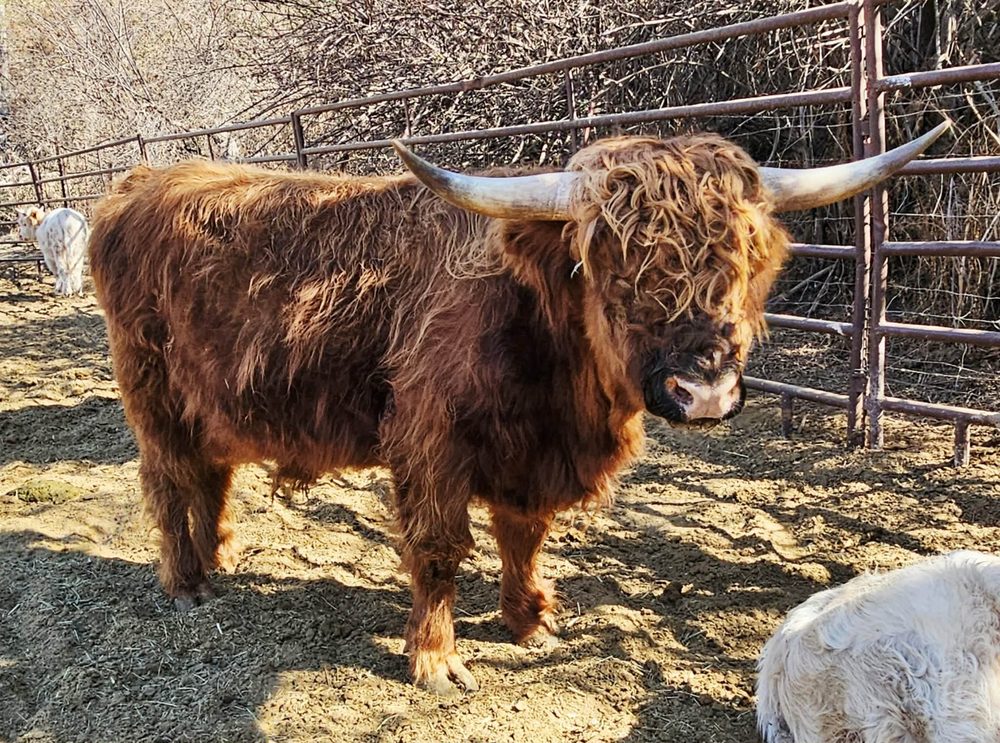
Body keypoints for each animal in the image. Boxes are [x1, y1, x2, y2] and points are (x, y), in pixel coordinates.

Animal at [88, 121, 947, 695]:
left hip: (212, 403)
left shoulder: (533, 456)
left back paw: (220, 556)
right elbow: (439, 547)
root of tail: (143, 182)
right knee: (167, 479)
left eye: (735, 258)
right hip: (153, 392)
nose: (701, 391)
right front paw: (436, 659)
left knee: (211, 477)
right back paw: (188, 582)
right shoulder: (430, 440)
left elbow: (523, 537)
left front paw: (529, 619)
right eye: (611, 264)